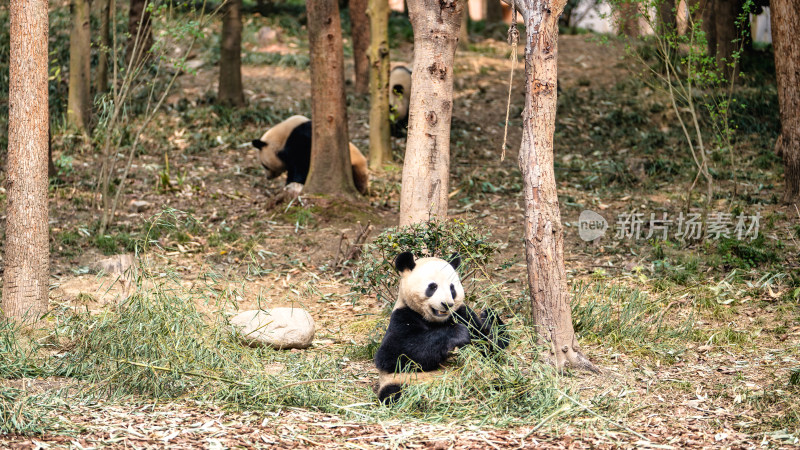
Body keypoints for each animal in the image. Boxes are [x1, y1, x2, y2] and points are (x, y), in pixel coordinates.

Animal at [374, 251, 506, 402]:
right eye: (433, 287)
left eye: (452, 288)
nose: (447, 304)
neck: (437, 321)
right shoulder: (402, 316)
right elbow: (392, 354)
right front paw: (457, 334)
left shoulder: (462, 314)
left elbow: (490, 348)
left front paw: (490, 317)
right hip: (401, 381)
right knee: (395, 394)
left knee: (497, 380)